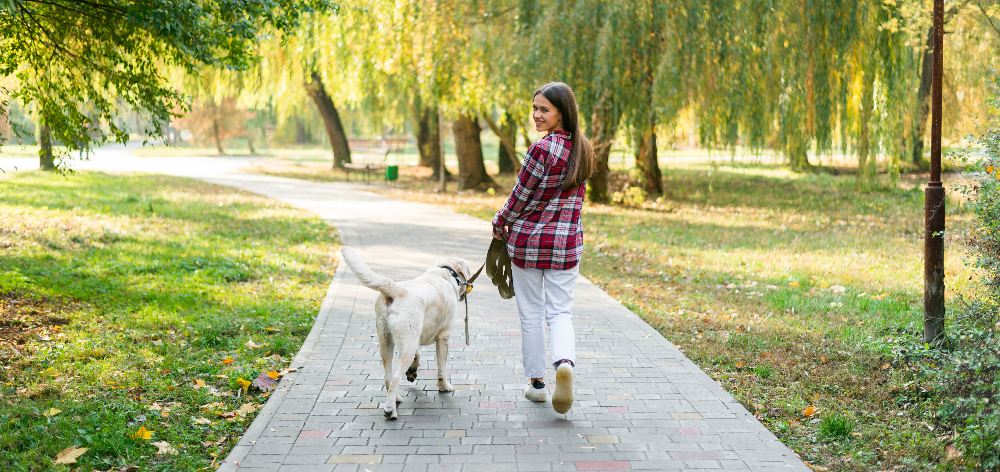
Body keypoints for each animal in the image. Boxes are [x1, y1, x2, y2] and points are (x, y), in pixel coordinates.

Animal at [340, 249, 472, 418]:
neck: (445, 273)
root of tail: (397, 288)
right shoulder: (444, 336)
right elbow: (441, 367)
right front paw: (444, 386)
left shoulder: (415, 336)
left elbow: (418, 354)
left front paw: (412, 371)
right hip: (406, 345)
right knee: (396, 377)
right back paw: (390, 410)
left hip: (387, 341)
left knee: (388, 377)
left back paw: (396, 398)